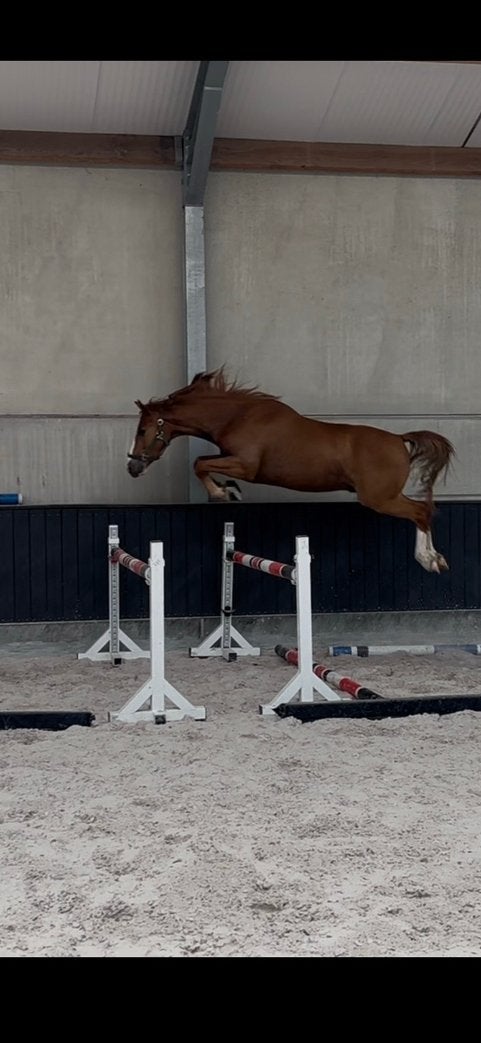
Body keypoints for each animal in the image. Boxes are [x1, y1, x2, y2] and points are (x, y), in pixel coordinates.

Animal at [127, 368, 455, 574]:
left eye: (142, 430)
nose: (132, 466)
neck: (237, 415)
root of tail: (400, 440)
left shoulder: (247, 465)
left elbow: (199, 464)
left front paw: (223, 492)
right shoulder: (230, 457)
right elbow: (204, 462)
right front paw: (229, 489)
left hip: (379, 498)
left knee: (420, 512)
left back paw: (429, 559)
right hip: (384, 497)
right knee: (424, 510)